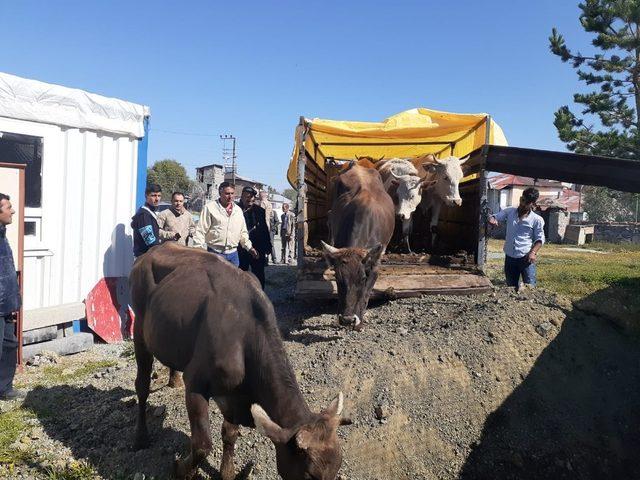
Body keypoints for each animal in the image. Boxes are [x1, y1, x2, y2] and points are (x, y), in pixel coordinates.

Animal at [129, 244, 344, 480]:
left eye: (337, 468)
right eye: (309, 475)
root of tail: (154, 249)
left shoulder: (235, 394)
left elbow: (230, 433)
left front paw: (227, 472)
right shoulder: (195, 383)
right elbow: (202, 445)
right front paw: (181, 470)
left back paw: (173, 379)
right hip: (139, 328)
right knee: (141, 386)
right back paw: (140, 437)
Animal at [324, 165, 396, 330]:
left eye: (363, 278)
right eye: (337, 277)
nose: (347, 319)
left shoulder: (375, 266)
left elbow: (366, 294)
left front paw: (359, 321)